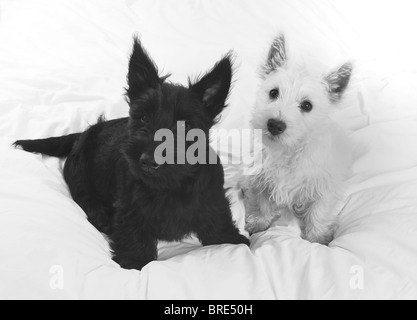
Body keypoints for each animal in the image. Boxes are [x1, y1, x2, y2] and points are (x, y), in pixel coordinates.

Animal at [15, 38, 250, 270]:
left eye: (186, 126)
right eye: (144, 117)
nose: (148, 161)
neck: (168, 185)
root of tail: (83, 133)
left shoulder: (213, 199)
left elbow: (218, 219)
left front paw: (231, 239)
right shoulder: (129, 208)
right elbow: (133, 232)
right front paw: (134, 260)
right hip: (79, 172)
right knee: (83, 195)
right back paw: (101, 217)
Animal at [242, 35, 352, 244]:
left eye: (307, 105)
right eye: (273, 93)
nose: (275, 125)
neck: (287, 150)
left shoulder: (324, 188)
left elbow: (318, 213)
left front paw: (317, 238)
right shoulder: (261, 179)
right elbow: (261, 203)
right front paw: (259, 223)